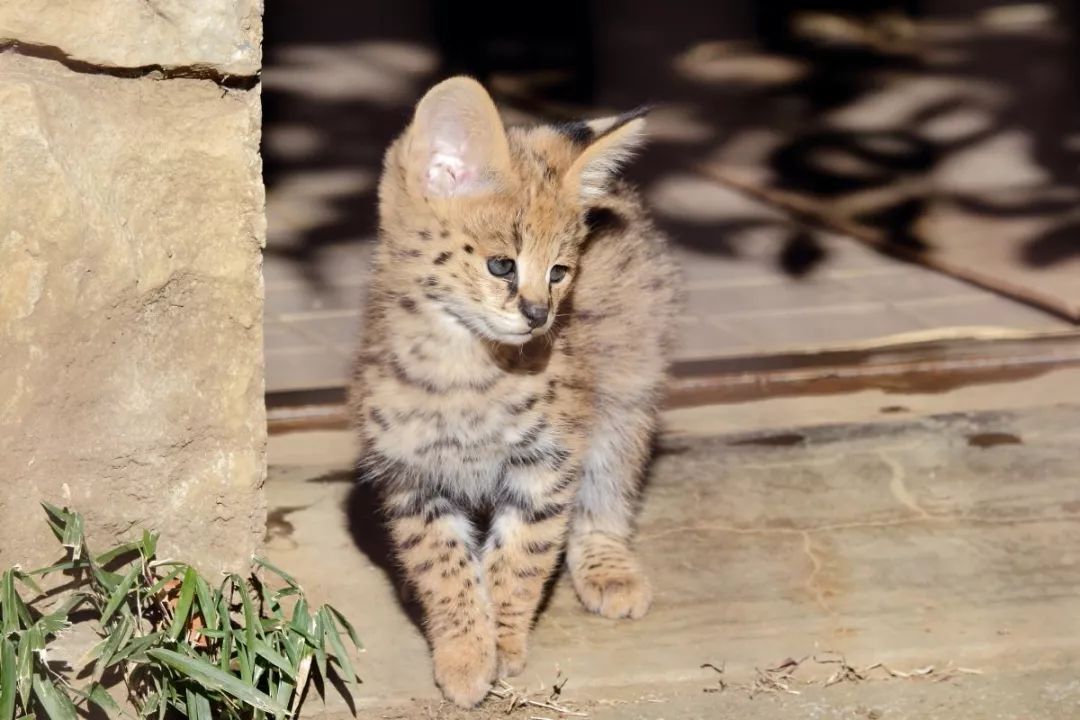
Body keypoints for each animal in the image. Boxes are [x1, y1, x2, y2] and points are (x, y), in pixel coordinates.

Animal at [349, 76, 678, 708]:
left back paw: (608, 567)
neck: (463, 367)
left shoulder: (547, 464)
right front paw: (464, 653)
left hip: (628, 388)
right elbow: (443, 567)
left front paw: (502, 642)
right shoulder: (411, 475)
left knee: (610, 484)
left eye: (559, 272)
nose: (539, 315)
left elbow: (519, 560)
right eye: (502, 266)